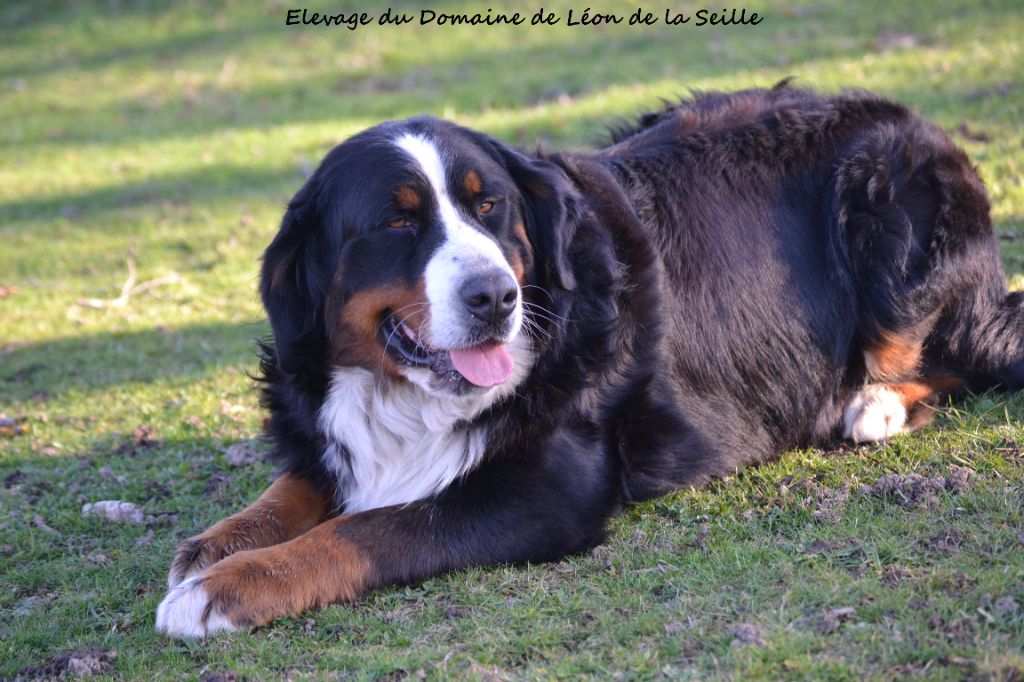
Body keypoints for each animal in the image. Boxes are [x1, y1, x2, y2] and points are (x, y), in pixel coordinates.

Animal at [156, 83, 1023, 637]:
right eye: (397, 223)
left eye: (489, 206)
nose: (496, 297)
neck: (406, 394)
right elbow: (305, 480)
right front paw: (221, 542)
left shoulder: (541, 490)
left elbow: (368, 530)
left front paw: (226, 589)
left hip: (891, 219)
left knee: (960, 351)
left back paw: (872, 402)